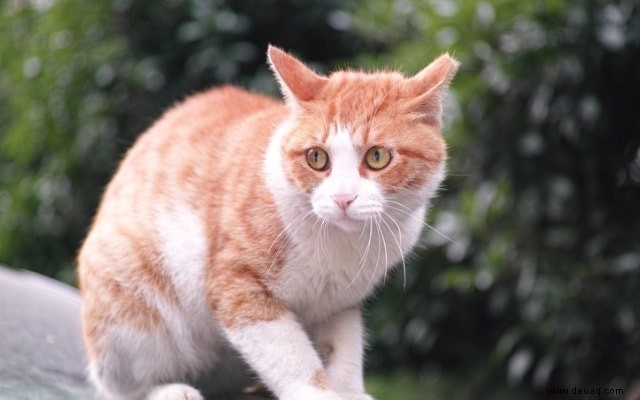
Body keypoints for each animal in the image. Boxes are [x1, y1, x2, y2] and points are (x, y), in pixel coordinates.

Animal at [77, 44, 458, 400]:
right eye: (316, 157)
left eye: (377, 157)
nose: (343, 198)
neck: (340, 246)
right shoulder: (238, 287)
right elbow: (291, 356)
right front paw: (317, 393)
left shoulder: (341, 304)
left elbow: (345, 352)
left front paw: (348, 391)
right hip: (134, 305)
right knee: (118, 386)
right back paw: (170, 390)